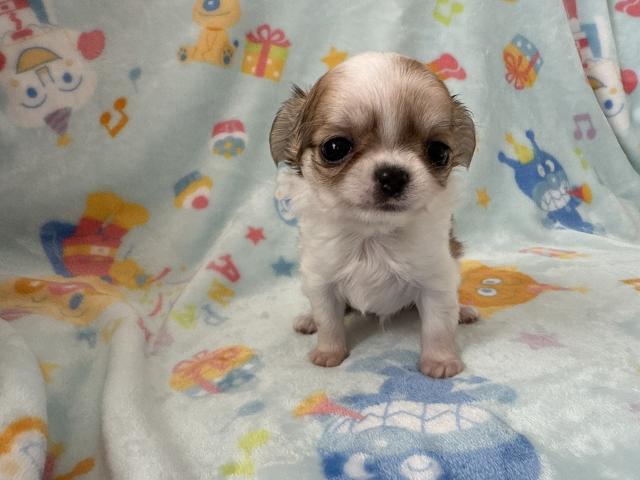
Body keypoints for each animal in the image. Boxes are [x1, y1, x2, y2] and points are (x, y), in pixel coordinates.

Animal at [269, 52, 478, 378]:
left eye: (439, 152)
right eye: (334, 148)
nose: (392, 175)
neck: (373, 234)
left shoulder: (437, 281)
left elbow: (438, 326)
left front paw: (440, 361)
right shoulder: (321, 279)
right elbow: (329, 320)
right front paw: (329, 353)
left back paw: (464, 312)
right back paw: (308, 319)